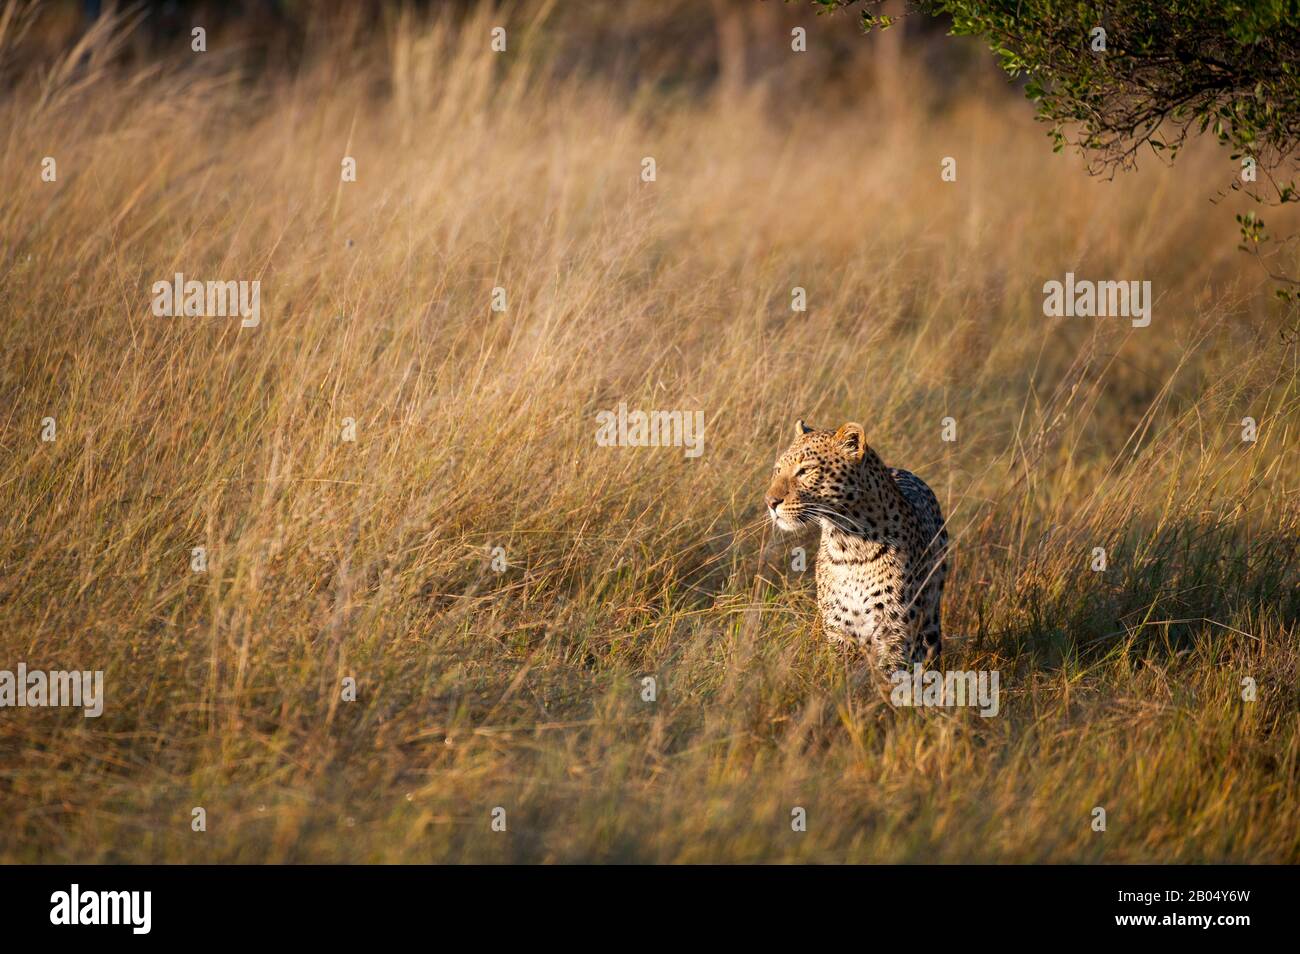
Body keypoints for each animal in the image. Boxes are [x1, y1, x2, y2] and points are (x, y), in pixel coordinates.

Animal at [765, 420, 948, 668]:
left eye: (805, 470)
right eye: (778, 470)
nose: (770, 502)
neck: (848, 545)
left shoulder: (896, 636)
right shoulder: (839, 633)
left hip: (930, 617)